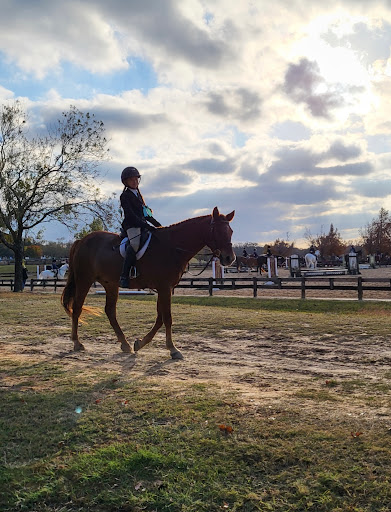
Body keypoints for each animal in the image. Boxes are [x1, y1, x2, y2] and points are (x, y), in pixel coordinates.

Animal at [61, 207, 236, 360]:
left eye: (231, 232)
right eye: (216, 231)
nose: (229, 258)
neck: (172, 246)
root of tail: (82, 240)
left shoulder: (164, 288)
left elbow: (160, 318)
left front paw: (140, 343)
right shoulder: (164, 288)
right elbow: (167, 318)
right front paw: (173, 349)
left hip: (110, 284)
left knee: (110, 311)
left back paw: (125, 344)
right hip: (84, 280)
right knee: (77, 308)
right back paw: (77, 343)